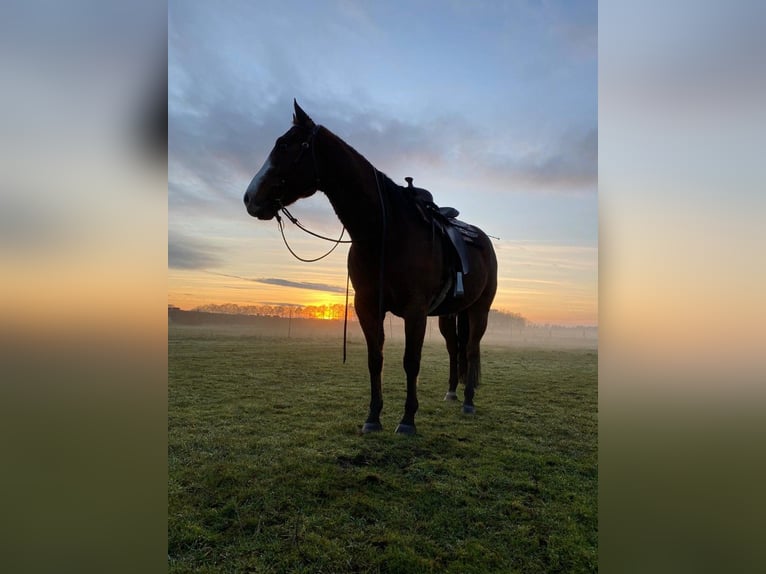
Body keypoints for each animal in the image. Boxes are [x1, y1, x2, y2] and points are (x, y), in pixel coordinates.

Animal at [243, 100, 498, 434]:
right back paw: (452, 393)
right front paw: (373, 417)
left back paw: (468, 401)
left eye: (284, 146)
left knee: (470, 348)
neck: (384, 232)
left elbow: (411, 361)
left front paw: (407, 420)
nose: (250, 197)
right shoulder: (367, 306)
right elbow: (375, 359)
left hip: (479, 309)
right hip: (450, 314)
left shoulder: (415, 311)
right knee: (455, 349)